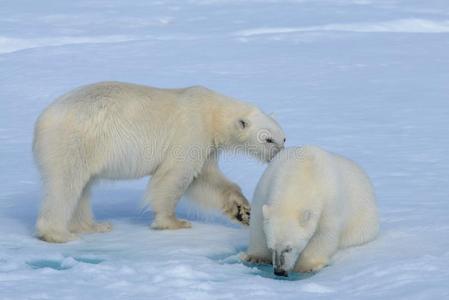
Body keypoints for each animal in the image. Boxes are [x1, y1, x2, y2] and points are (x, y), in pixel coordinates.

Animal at [33, 81, 286, 243]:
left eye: (283, 138)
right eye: (268, 138)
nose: (280, 152)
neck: (213, 113)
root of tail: (42, 119)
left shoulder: (207, 145)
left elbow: (205, 179)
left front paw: (243, 210)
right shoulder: (192, 131)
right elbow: (175, 176)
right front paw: (174, 222)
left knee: (83, 188)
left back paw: (94, 226)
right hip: (74, 141)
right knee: (65, 184)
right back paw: (60, 234)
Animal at [242, 146, 378, 276]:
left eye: (289, 248)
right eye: (271, 247)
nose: (279, 272)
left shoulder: (329, 203)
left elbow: (323, 234)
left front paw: (306, 267)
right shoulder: (265, 186)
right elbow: (257, 224)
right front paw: (255, 257)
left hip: (363, 222)